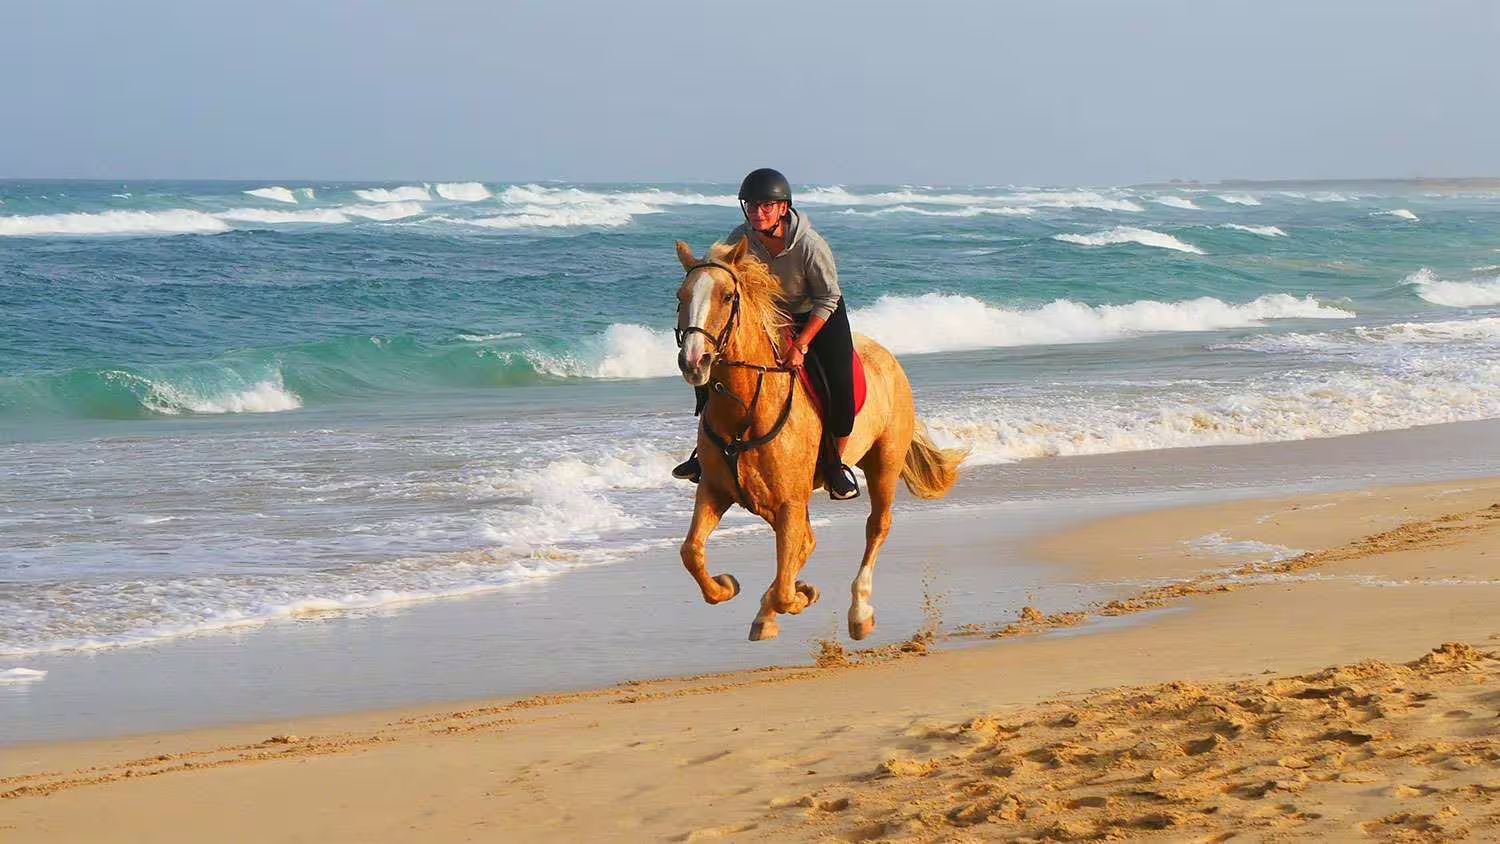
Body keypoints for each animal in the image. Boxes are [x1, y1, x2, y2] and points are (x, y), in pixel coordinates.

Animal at [674, 237, 968, 642]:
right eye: (681, 295)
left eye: (727, 296)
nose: (694, 361)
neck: (746, 407)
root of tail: (890, 358)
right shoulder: (715, 490)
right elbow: (691, 552)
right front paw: (727, 586)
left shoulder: (790, 502)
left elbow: (785, 589)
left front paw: (799, 596)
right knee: (807, 542)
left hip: (884, 463)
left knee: (876, 526)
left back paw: (859, 612)